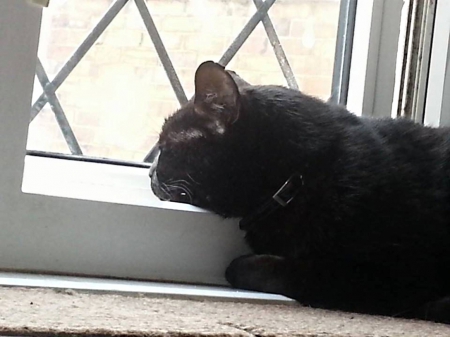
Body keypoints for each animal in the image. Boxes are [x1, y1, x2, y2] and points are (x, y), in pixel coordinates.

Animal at [149, 60, 450, 322]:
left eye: (166, 147)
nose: (150, 172)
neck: (302, 173)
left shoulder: (386, 276)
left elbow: (269, 269)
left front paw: (244, 265)